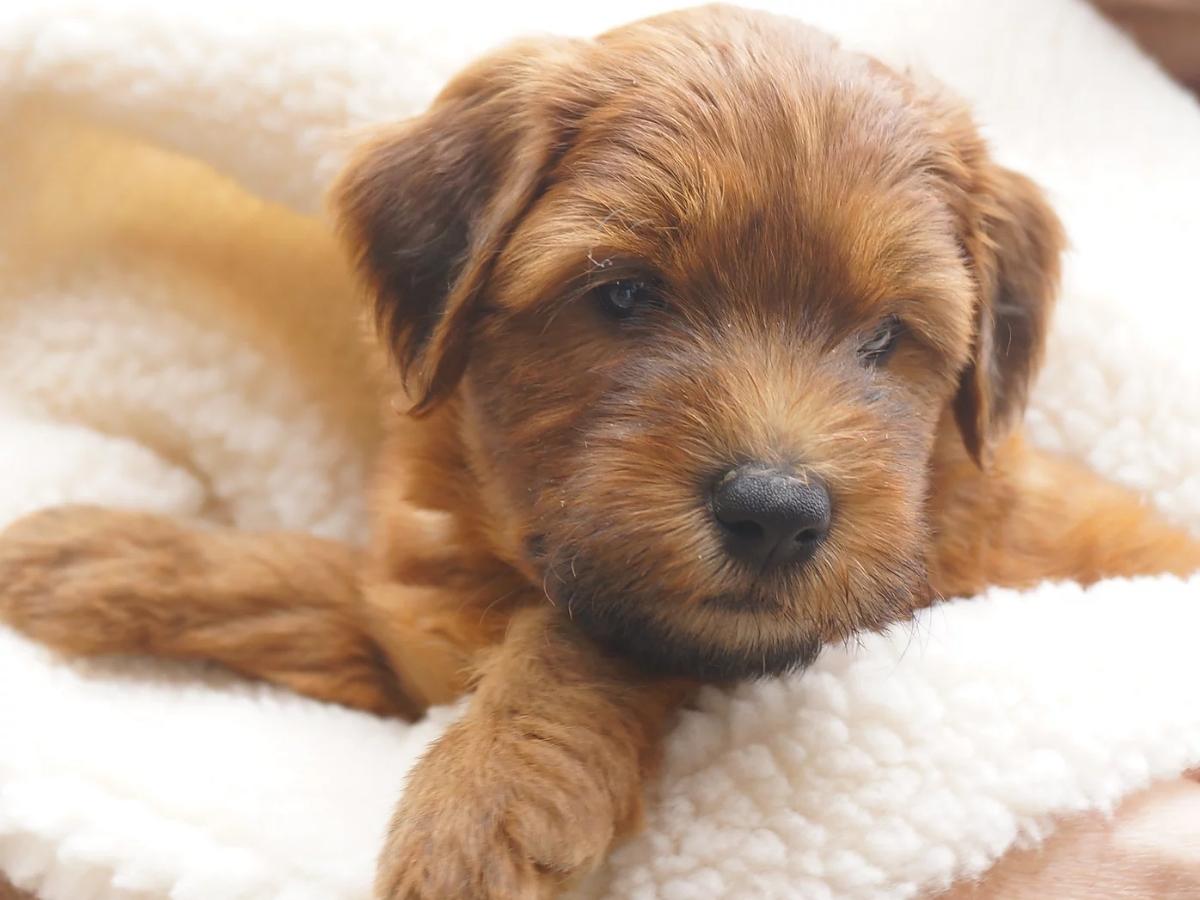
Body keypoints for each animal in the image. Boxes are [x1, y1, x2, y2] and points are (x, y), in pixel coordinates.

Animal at [2, 7, 1200, 900]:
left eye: (886, 337)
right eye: (623, 295)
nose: (776, 512)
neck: (502, 550)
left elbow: (584, 640)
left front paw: (479, 805)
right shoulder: (408, 640)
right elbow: (317, 580)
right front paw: (102, 552)